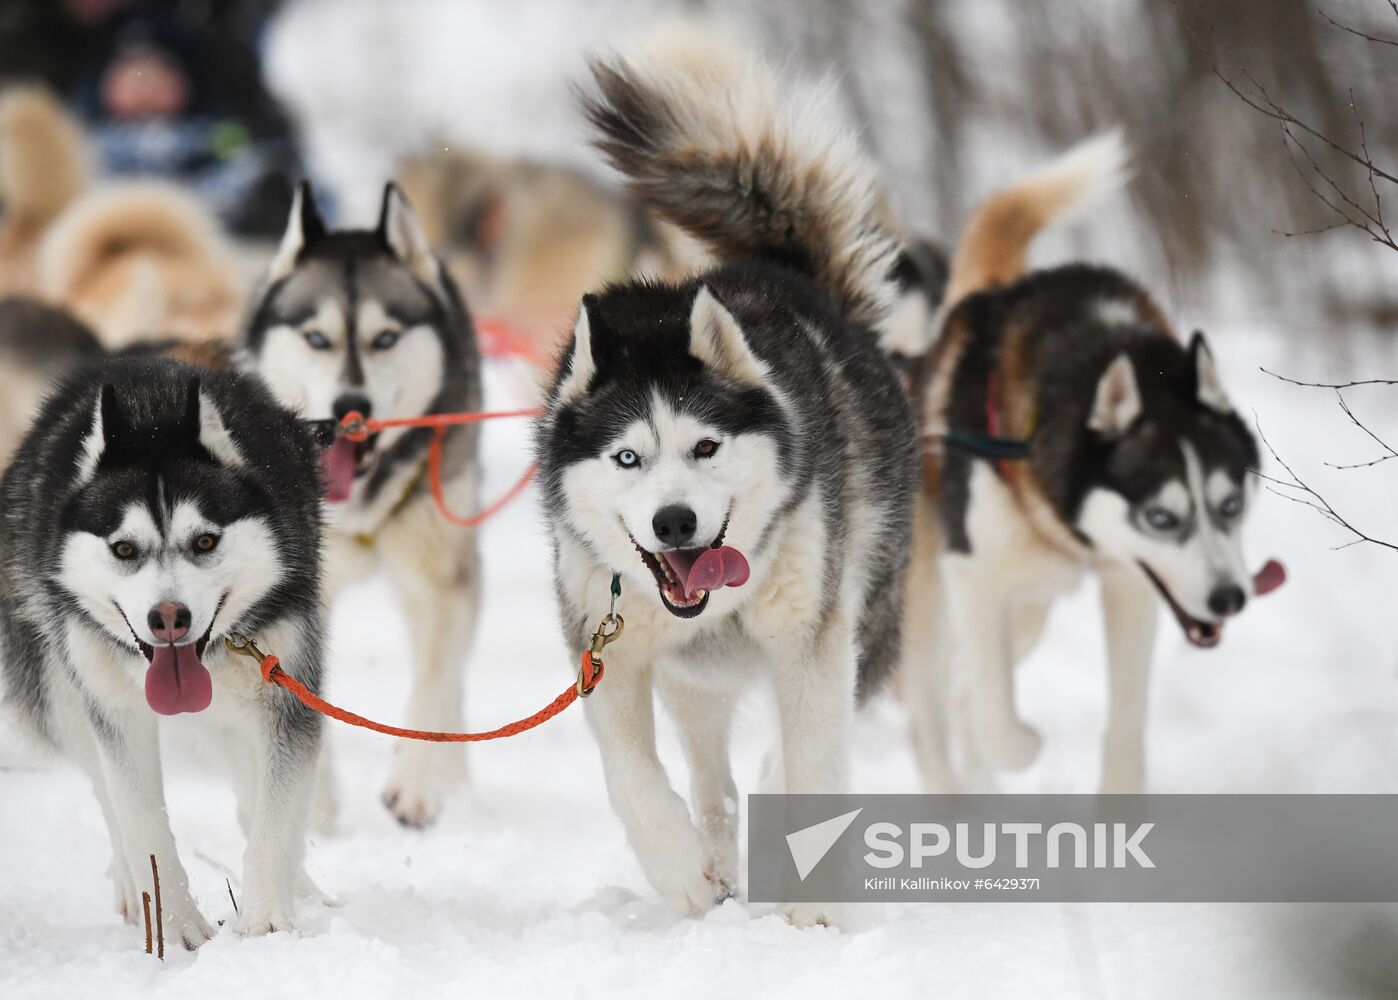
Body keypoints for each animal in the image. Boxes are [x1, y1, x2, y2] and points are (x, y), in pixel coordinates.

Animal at [0, 356, 324, 945]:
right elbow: (140, 820)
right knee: (103, 788)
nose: (169, 617)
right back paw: (133, 890)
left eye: (206, 541)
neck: (152, 408)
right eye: (124, 549)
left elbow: (277, 808)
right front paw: (174, 929)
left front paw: (266, 918)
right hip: (59, 697)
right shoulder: (115, 710)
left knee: (251, 788)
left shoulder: (287, 693)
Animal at [240, 181, 480, 827]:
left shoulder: (443, 578)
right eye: (317, 339)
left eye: (386, 339)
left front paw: (416, 785)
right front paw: (314, 807)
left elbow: (434, 676)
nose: (353, 405)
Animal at [539, 41, 922, 923]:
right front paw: (681, 869)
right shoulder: (605, 649)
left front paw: (814, 912)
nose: (675, 523)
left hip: (864, 616)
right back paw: (714, 860)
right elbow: (632, 777)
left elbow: (811, 764)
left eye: (706, 447)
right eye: (628, 458)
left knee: (787, 748)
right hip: (693, 682)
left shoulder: (813, 642)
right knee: (711, 780)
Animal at [900, 132, 1280, 794]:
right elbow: (998, 725)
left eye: (1230, 504)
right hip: (929, 600)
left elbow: (1125, 724)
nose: (1230, 598)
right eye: (1161, 517)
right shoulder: (975, 576)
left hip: (1031, 606)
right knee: (929, 707)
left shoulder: (1133, 582)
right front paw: (1015, 743)